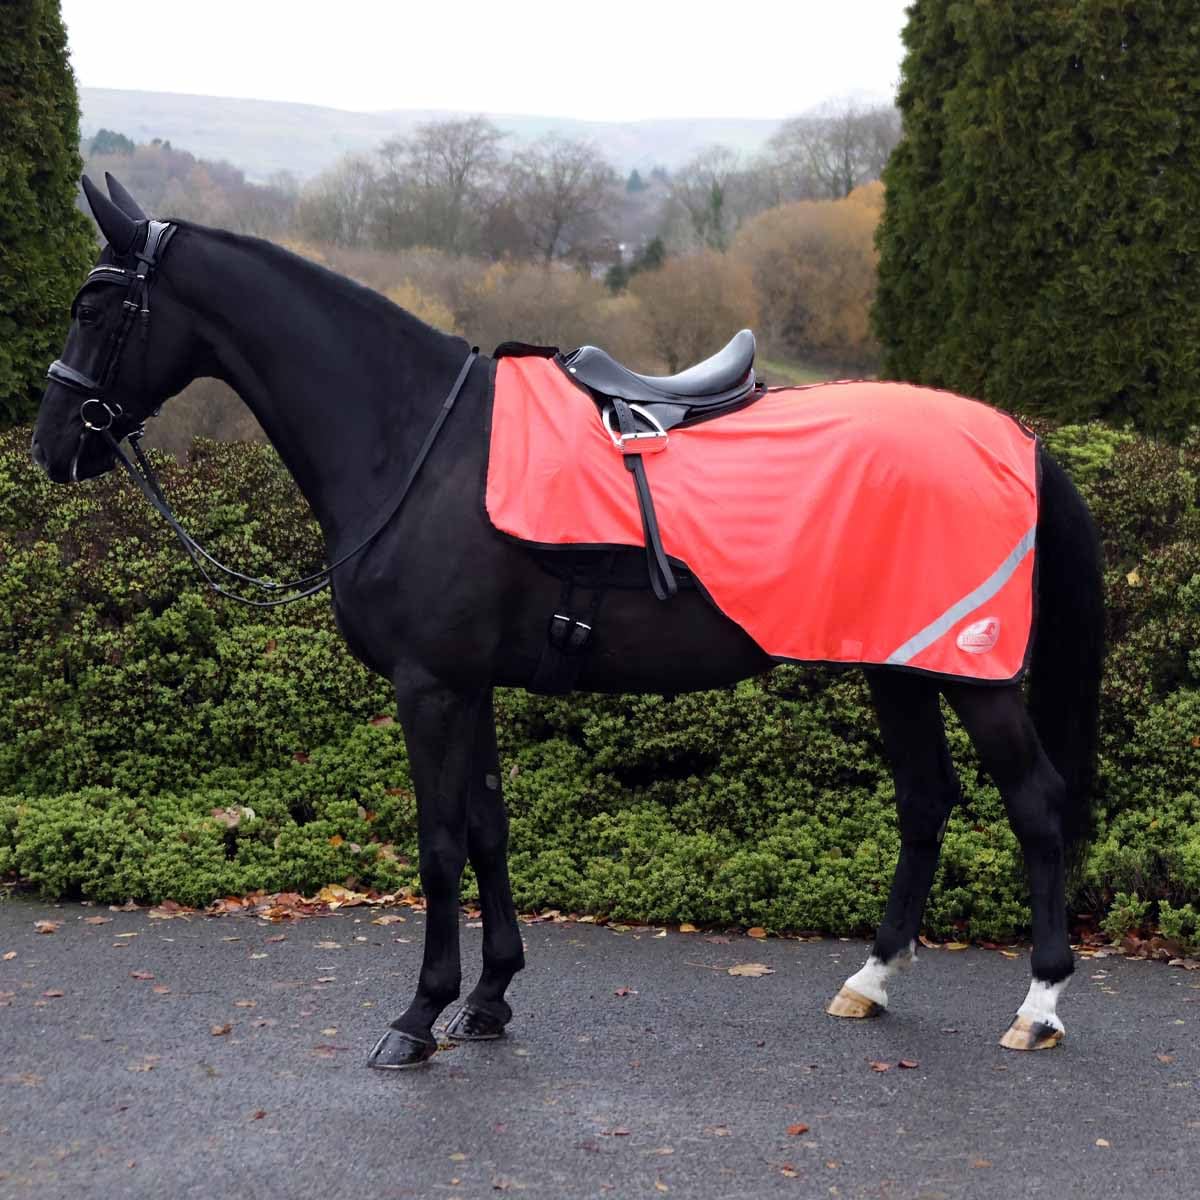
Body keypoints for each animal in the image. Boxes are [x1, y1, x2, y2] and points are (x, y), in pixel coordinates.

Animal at [31, 176, 1104, 1069]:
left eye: (94, 306)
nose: (50, 447)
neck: (421, 446)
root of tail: (1015, 440)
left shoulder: (429, 686)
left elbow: (439, 844)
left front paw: (418, 1016)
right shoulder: (470, 684)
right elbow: (488, 829)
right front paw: (490, 999)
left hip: (971, 674)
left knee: (1037, 805)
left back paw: (1042, 1003)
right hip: (899, 666)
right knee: (926, 801)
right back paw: (872, 981)